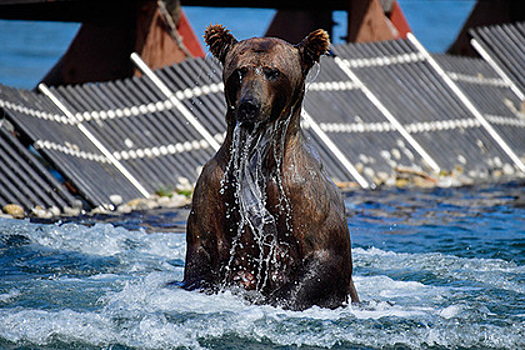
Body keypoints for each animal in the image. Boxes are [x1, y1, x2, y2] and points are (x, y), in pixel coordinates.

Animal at [182, 23, 358, 310]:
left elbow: (325, 257)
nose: (249, 105)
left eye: (273, 71)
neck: (257, 163)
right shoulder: (212, 188)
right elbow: (201, 251)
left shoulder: (307, 195)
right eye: (240, 71)